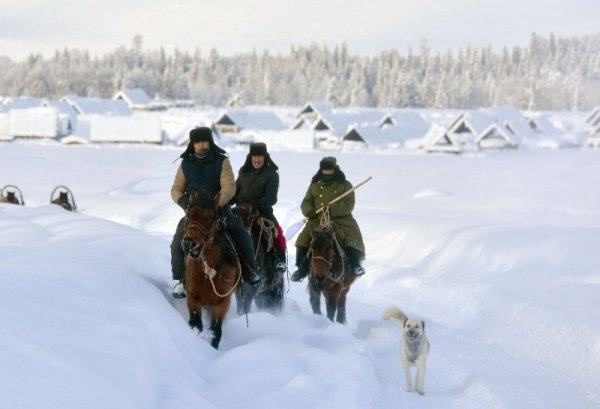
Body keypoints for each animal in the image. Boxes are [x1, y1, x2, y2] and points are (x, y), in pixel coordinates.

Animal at [180, 192, 241, 348]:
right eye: (188, 214)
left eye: (209, 218)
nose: (189, 243)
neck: (208, 273)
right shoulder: (193, 297)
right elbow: (196, 323)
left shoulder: (221, 303)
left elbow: (216, 331)